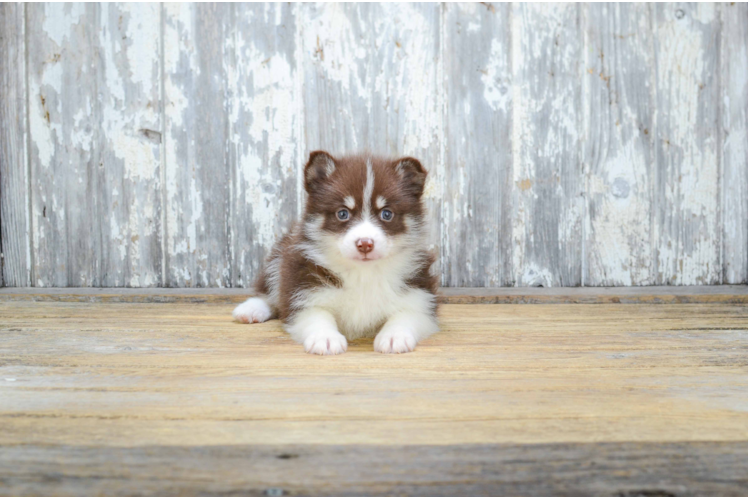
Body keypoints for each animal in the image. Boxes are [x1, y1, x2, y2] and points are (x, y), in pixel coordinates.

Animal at [231, 150, 436, 354]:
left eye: (387, 214)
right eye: (342, 213)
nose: (365, 244)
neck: (363, 273)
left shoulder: (420, 296)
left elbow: (406, 315)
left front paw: (394, 336)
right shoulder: (303, 290)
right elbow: (317, 315)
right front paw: (325, 338)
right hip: (280, 256)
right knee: (270, 290)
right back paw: (251, 309)